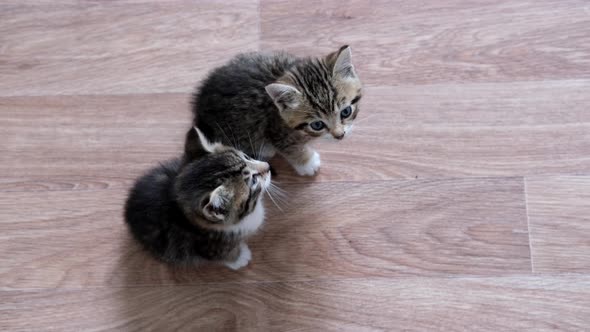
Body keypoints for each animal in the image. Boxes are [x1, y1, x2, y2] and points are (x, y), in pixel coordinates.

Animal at [126, 127, 274, 270]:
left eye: (247, 156)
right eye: (254, 180)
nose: (268, 166)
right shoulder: (208, 247)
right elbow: (222, 255)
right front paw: (239, 258)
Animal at [192, 46, 364, 179]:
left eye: (346, 112)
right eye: (317, 125)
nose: (340, 135)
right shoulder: (274, 131)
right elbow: (290, 148)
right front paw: (308, 163)